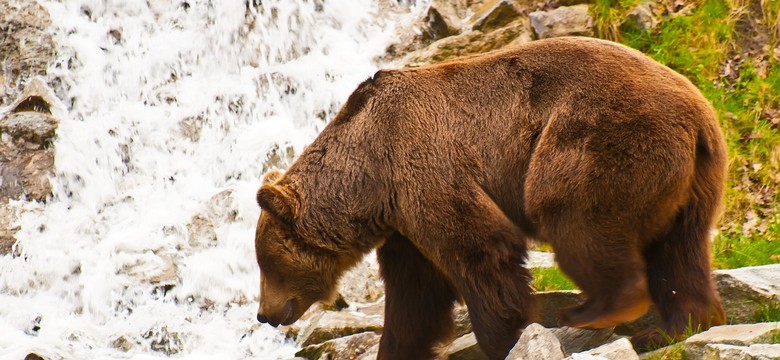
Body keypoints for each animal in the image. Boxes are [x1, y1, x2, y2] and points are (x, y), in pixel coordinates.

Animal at [253, 37, 728, 360]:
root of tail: (698, 114)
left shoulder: (422, 165)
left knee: (576, 217)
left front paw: (507, 336)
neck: (368, 181)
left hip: (596, 136)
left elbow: (480, 252)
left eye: (267, 265)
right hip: (695, 181)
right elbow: (414, 295)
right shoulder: (404, 221)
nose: (264, 314)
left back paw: (596, 311)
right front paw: (398, 349)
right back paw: (680, 326)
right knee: (680, 253)